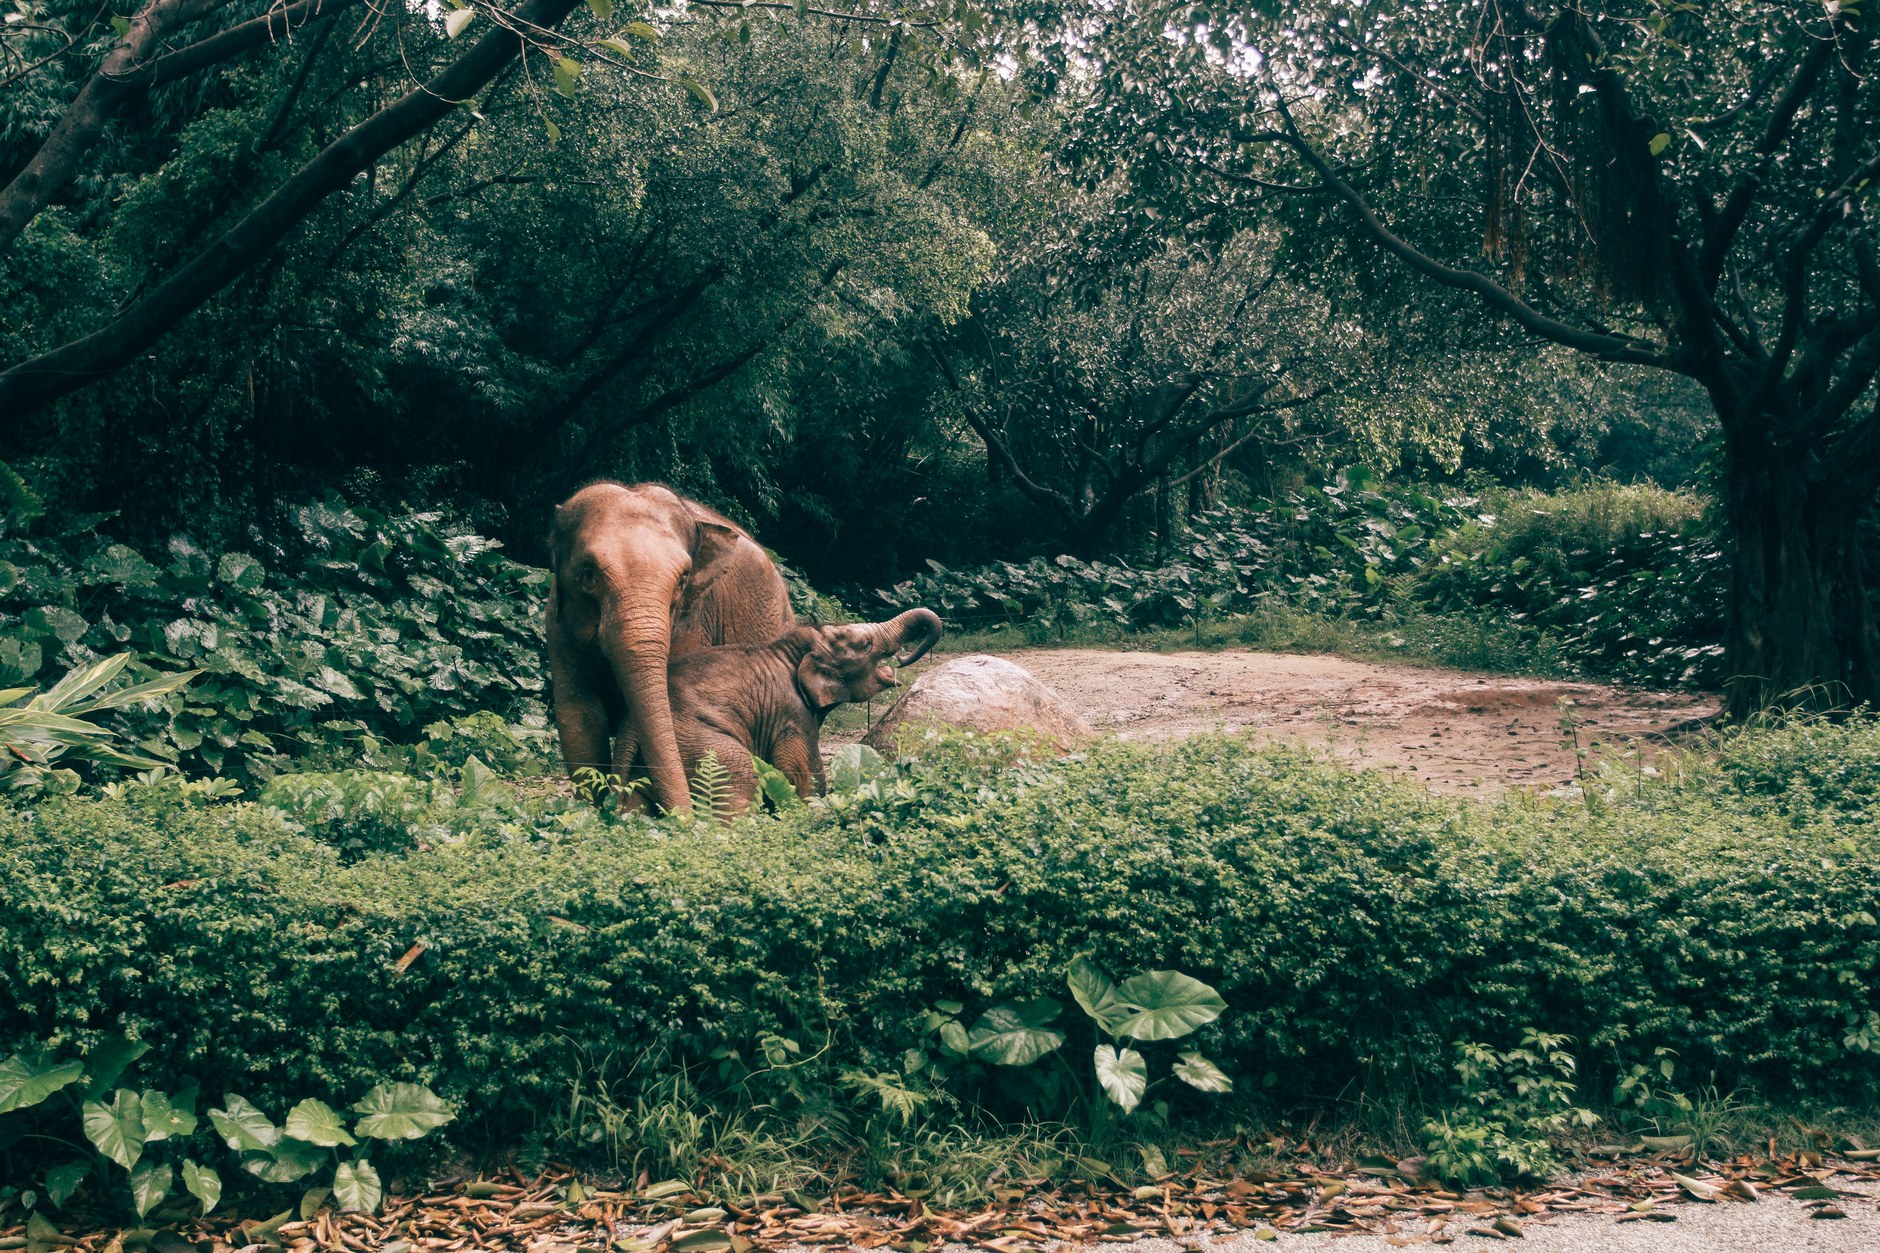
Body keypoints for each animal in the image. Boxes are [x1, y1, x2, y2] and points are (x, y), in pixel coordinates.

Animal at [547, 481, 793, 812]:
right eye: (588, 573)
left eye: (683, 580)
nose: (683, 816)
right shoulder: (557, 628)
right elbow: (579, 719)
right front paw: (589, 812)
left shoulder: (695, 622)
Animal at [660, 608, 944, 812]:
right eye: (866, 644)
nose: (902, 659)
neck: (788, 652)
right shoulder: (791, 713)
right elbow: (804, 774)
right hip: (695, 740)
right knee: (740, 775)